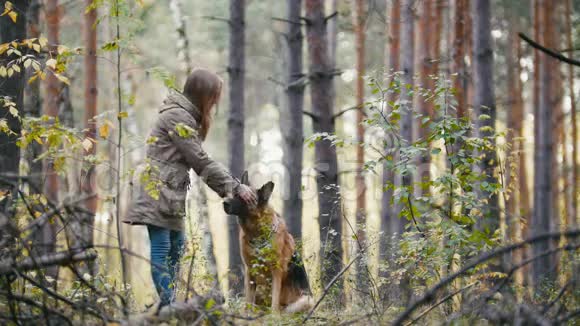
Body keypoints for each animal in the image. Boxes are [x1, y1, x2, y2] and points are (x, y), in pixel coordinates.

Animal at [222, 172, 312, 312]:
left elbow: (274, 303)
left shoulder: (276, 273)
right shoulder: (250, 272)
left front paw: (273, 315)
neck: (257, 235)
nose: (224, 203)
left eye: (242, 198)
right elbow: (248, 303)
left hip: (306, 301)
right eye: (233, 193)